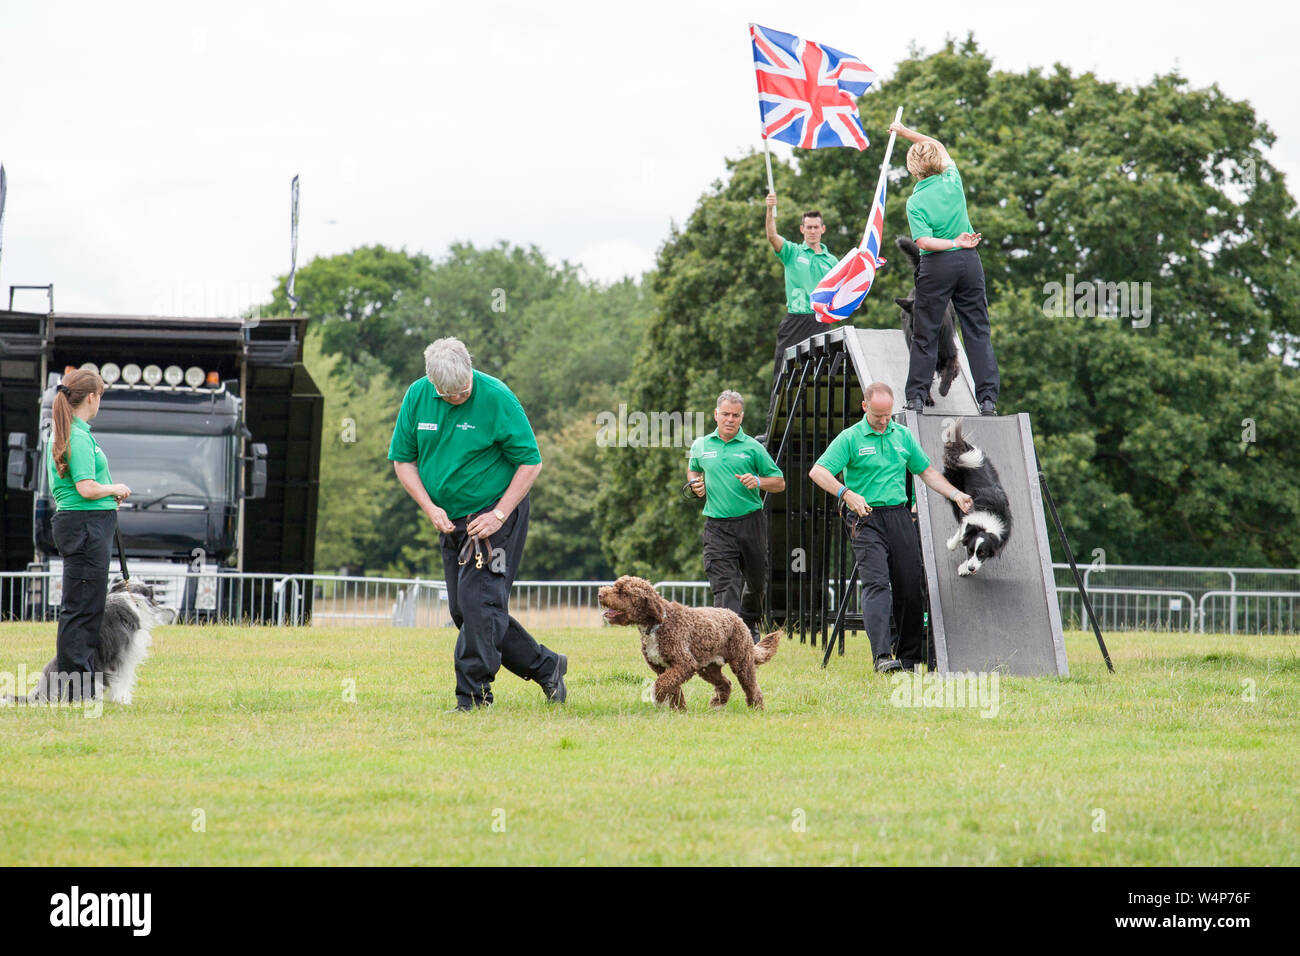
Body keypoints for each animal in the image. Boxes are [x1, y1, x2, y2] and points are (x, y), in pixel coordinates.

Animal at [595, 574, 774, 712]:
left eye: (623, 592)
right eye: (616, 586)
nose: (600, 593)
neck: (659, 624)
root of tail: (735, 616)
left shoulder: (684, 663)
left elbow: (662, 684)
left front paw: (658, 699)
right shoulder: (664, 667)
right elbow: (674, 689)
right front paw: (679, 710)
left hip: (741, 661)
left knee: (751, 686)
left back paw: (756, 708)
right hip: (708, 668)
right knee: (725, 683)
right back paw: (717, 704)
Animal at [894, 238, 967, 408]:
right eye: (912, 323)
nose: (915, 338)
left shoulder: (950, 350)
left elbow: (950, 367)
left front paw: (944, 388)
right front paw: (926, 398)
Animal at [946, 416, 1013, 574]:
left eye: (982, 553)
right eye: (971, 551)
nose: (971, 569)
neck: (985, 525)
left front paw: (964, 568)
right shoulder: (966, 516)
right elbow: (961, 533)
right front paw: (952, 545)